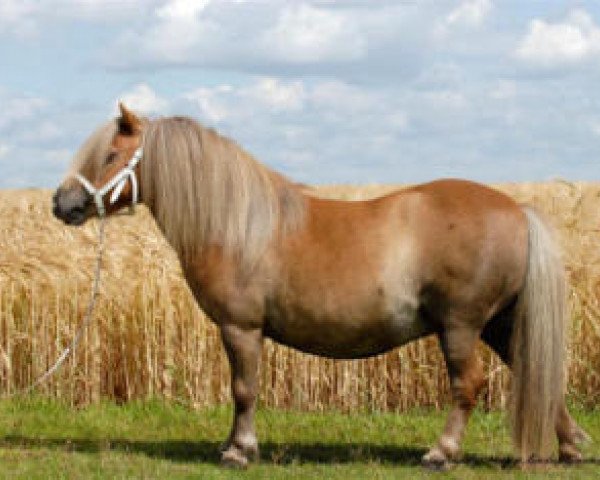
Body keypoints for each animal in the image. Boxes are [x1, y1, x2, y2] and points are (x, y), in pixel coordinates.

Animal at [51, 105, 584, 468]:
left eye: (111, 155)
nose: (63, 204)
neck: (237, 225)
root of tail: (517, 209)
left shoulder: (241, 328)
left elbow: (244, 389)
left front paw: (240, 450)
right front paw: (232, 445)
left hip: (462, 327)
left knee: (467, 385)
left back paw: (441, 452)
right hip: (500, 324)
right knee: (534, 372)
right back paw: (571, 444)